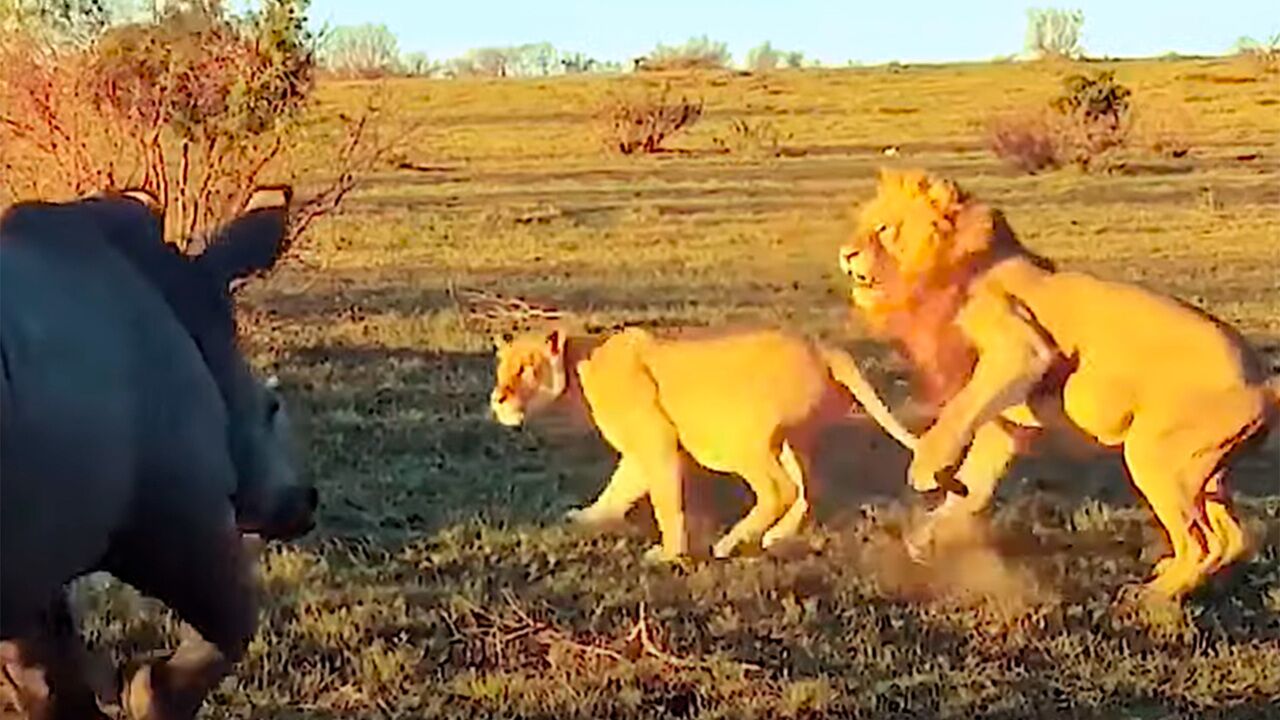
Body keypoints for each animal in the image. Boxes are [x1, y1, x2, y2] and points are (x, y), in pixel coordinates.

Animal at [839, 167, 1280, 599]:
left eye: (883, 228)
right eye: (861, 224)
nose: (845, 254)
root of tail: (1264, 383)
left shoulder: (1019, 348)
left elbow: (959, 411)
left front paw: (926, 467)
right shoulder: (1007, 422)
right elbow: (973, 482)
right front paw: (925, 538)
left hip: (1153, 454)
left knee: (1201, 543)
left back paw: (1149, 595)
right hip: (1207, 472)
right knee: (1232, 538)